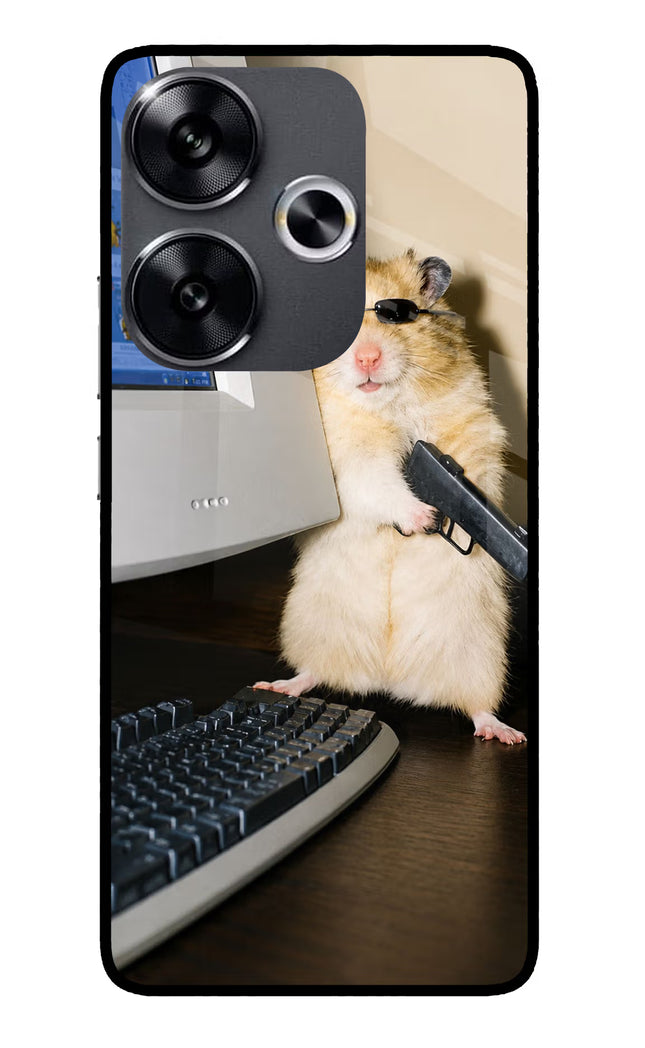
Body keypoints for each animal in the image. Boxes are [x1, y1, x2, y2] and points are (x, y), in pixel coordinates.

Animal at [256, 250, 526, 744]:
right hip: (312, 626)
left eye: (397, 316)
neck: (386, 404)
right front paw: (424, 518)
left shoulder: (471, 427)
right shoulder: (348, 460)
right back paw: (279, 685)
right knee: (313, 672)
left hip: (480, 654)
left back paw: (504, 733)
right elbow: (378, 483)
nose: (367, 358)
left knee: (477, 706)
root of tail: (388, 679)